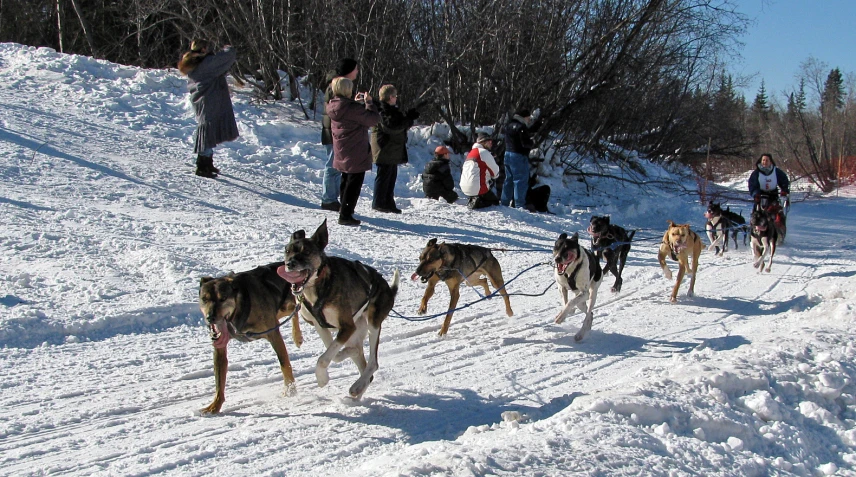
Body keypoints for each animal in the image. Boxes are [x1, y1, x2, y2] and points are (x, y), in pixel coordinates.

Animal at [199, 262, 306, 414]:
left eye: (223, 298)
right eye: (204, 299)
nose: (210, 317)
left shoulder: (273, 334)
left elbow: (284, 363)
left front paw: (290, 390)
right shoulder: (219, 347)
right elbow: (219, 381)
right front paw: (215, 405)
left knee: (296, 308)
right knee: (295, 309)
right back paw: (297, 335)